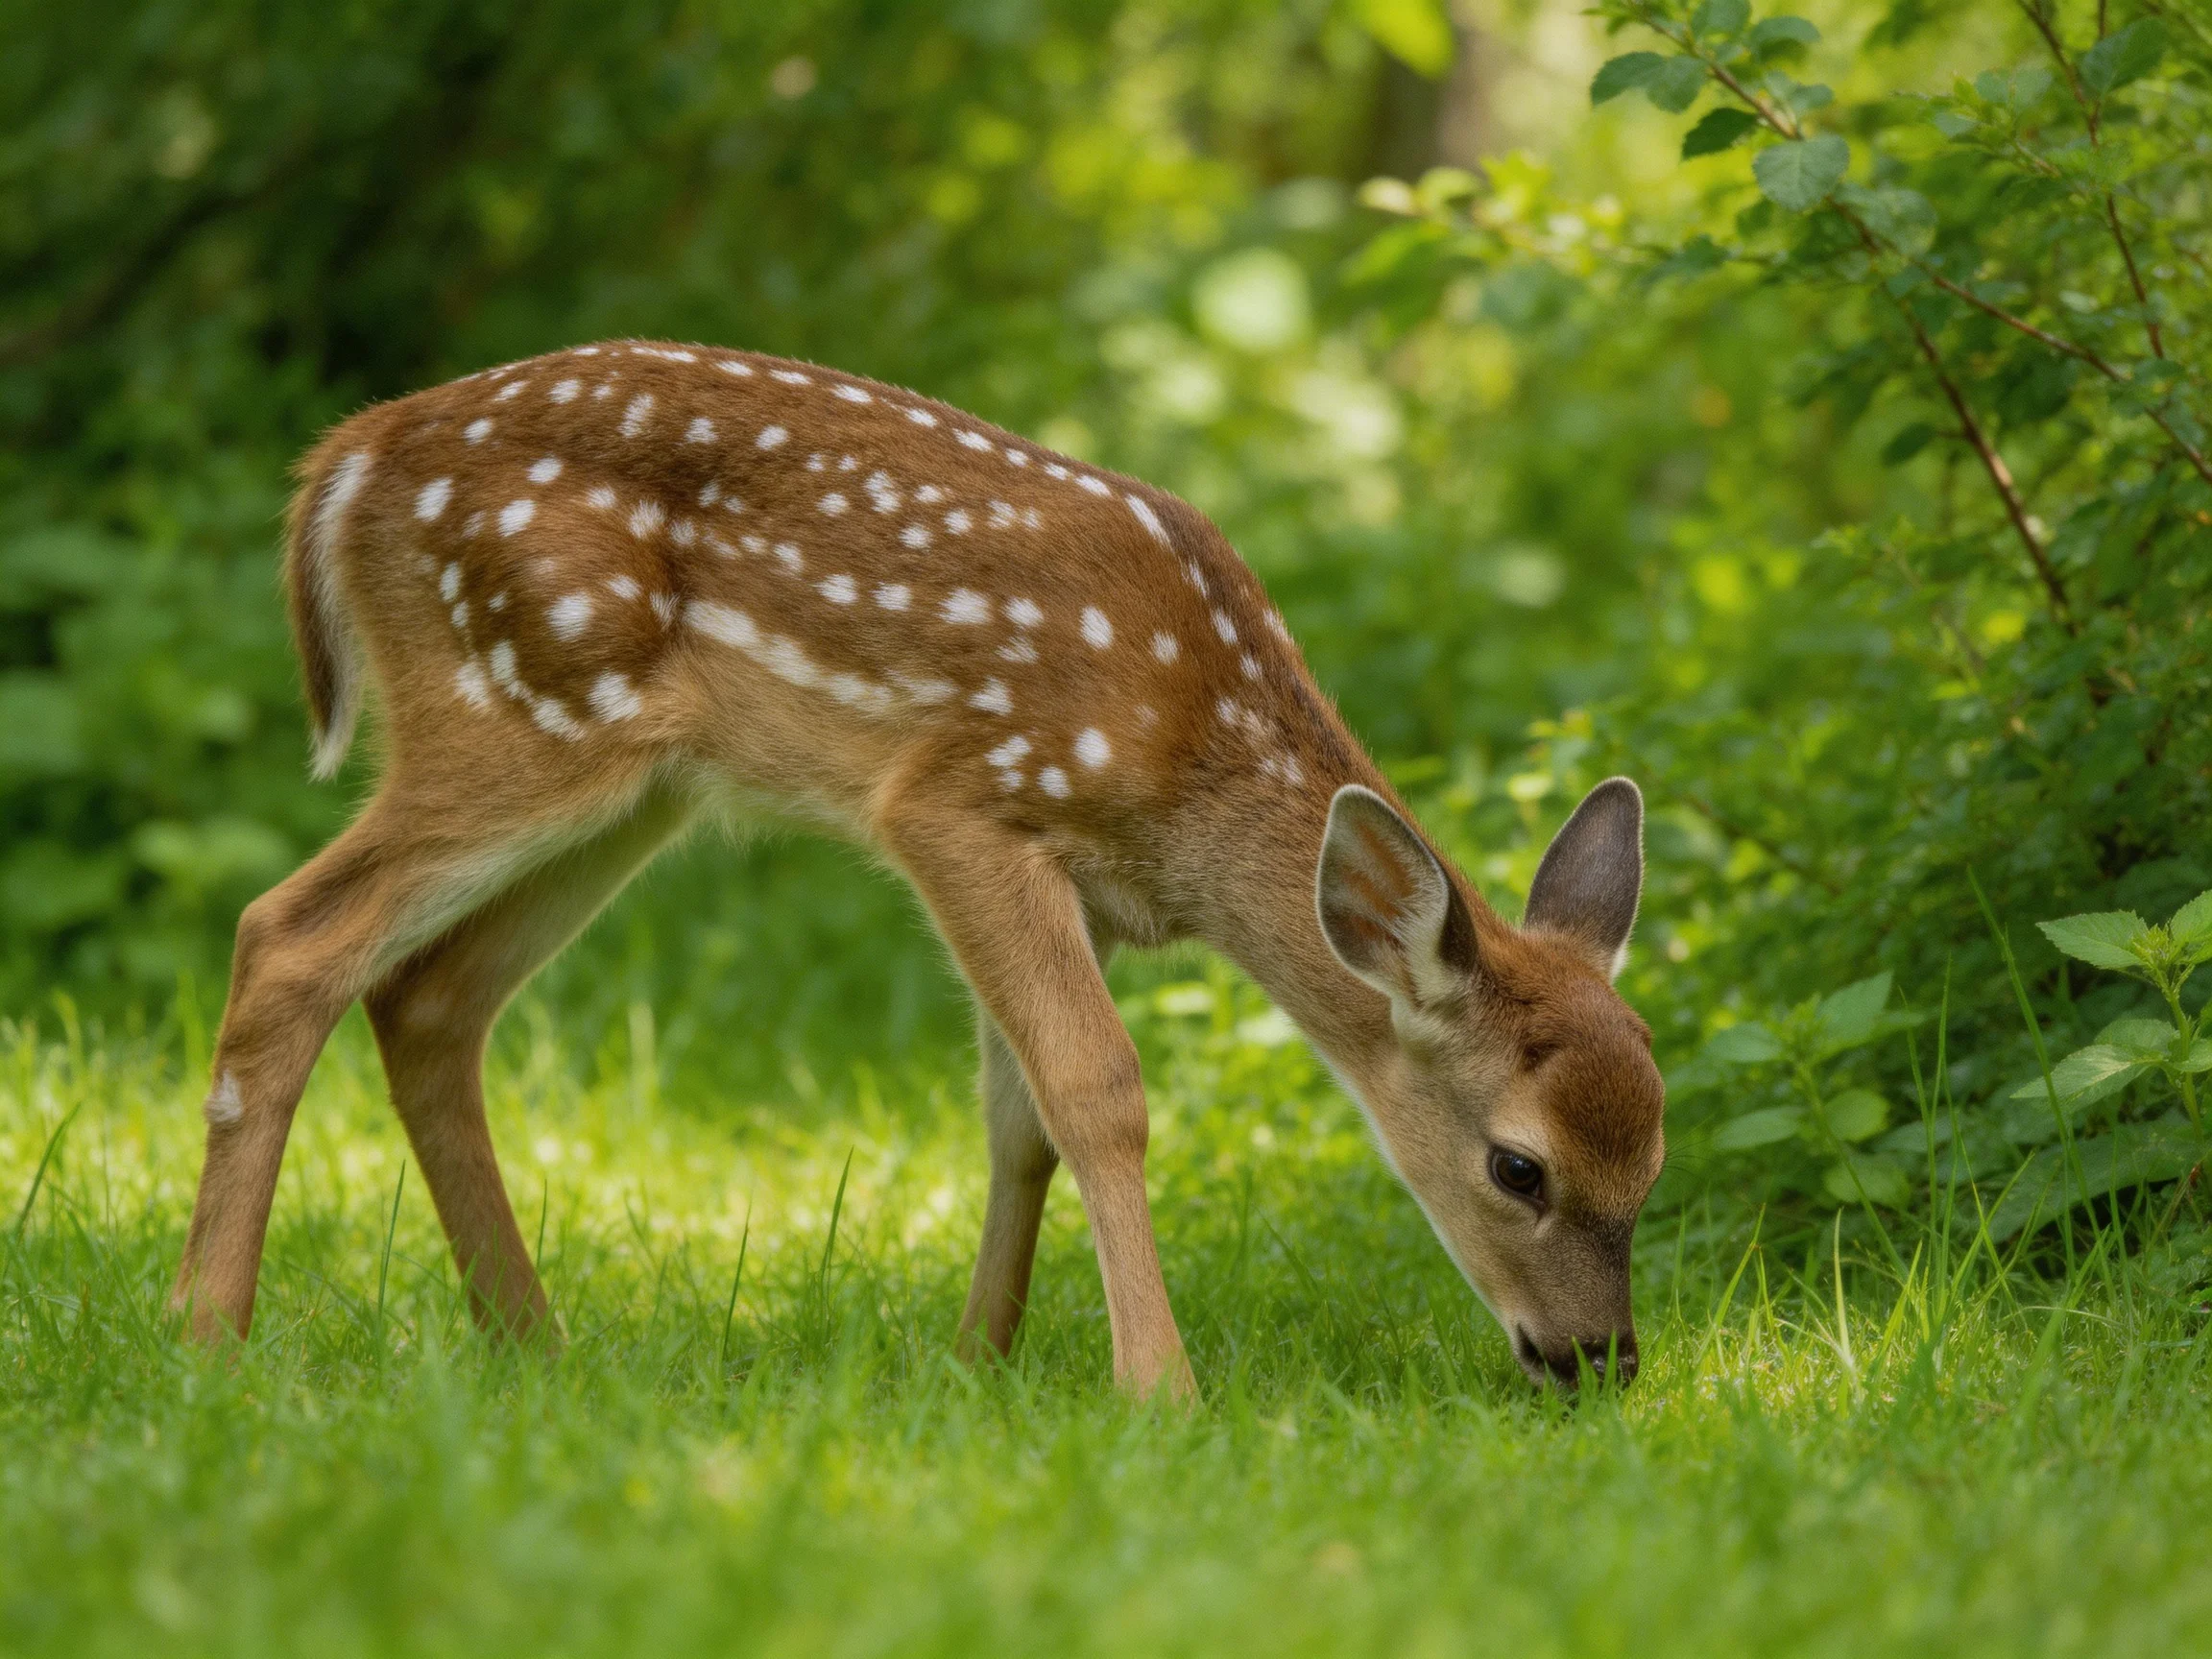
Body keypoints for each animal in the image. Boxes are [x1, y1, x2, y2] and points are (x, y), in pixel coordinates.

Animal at [169, 339, 1666, 1400]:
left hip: (629, 786)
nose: (1598, 1361)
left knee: (428, 995)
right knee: (290, 934)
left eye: (1654, 1161)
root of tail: (346, 460)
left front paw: (976, 1362)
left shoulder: (1087, 886)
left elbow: (1023, 1120)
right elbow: (1100, 1088)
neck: (1193, 761)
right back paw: (207, 1337)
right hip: (513, 705)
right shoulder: (959, 800)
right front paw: (1160, 1391)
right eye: (1518, 1168)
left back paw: (533, 1341)